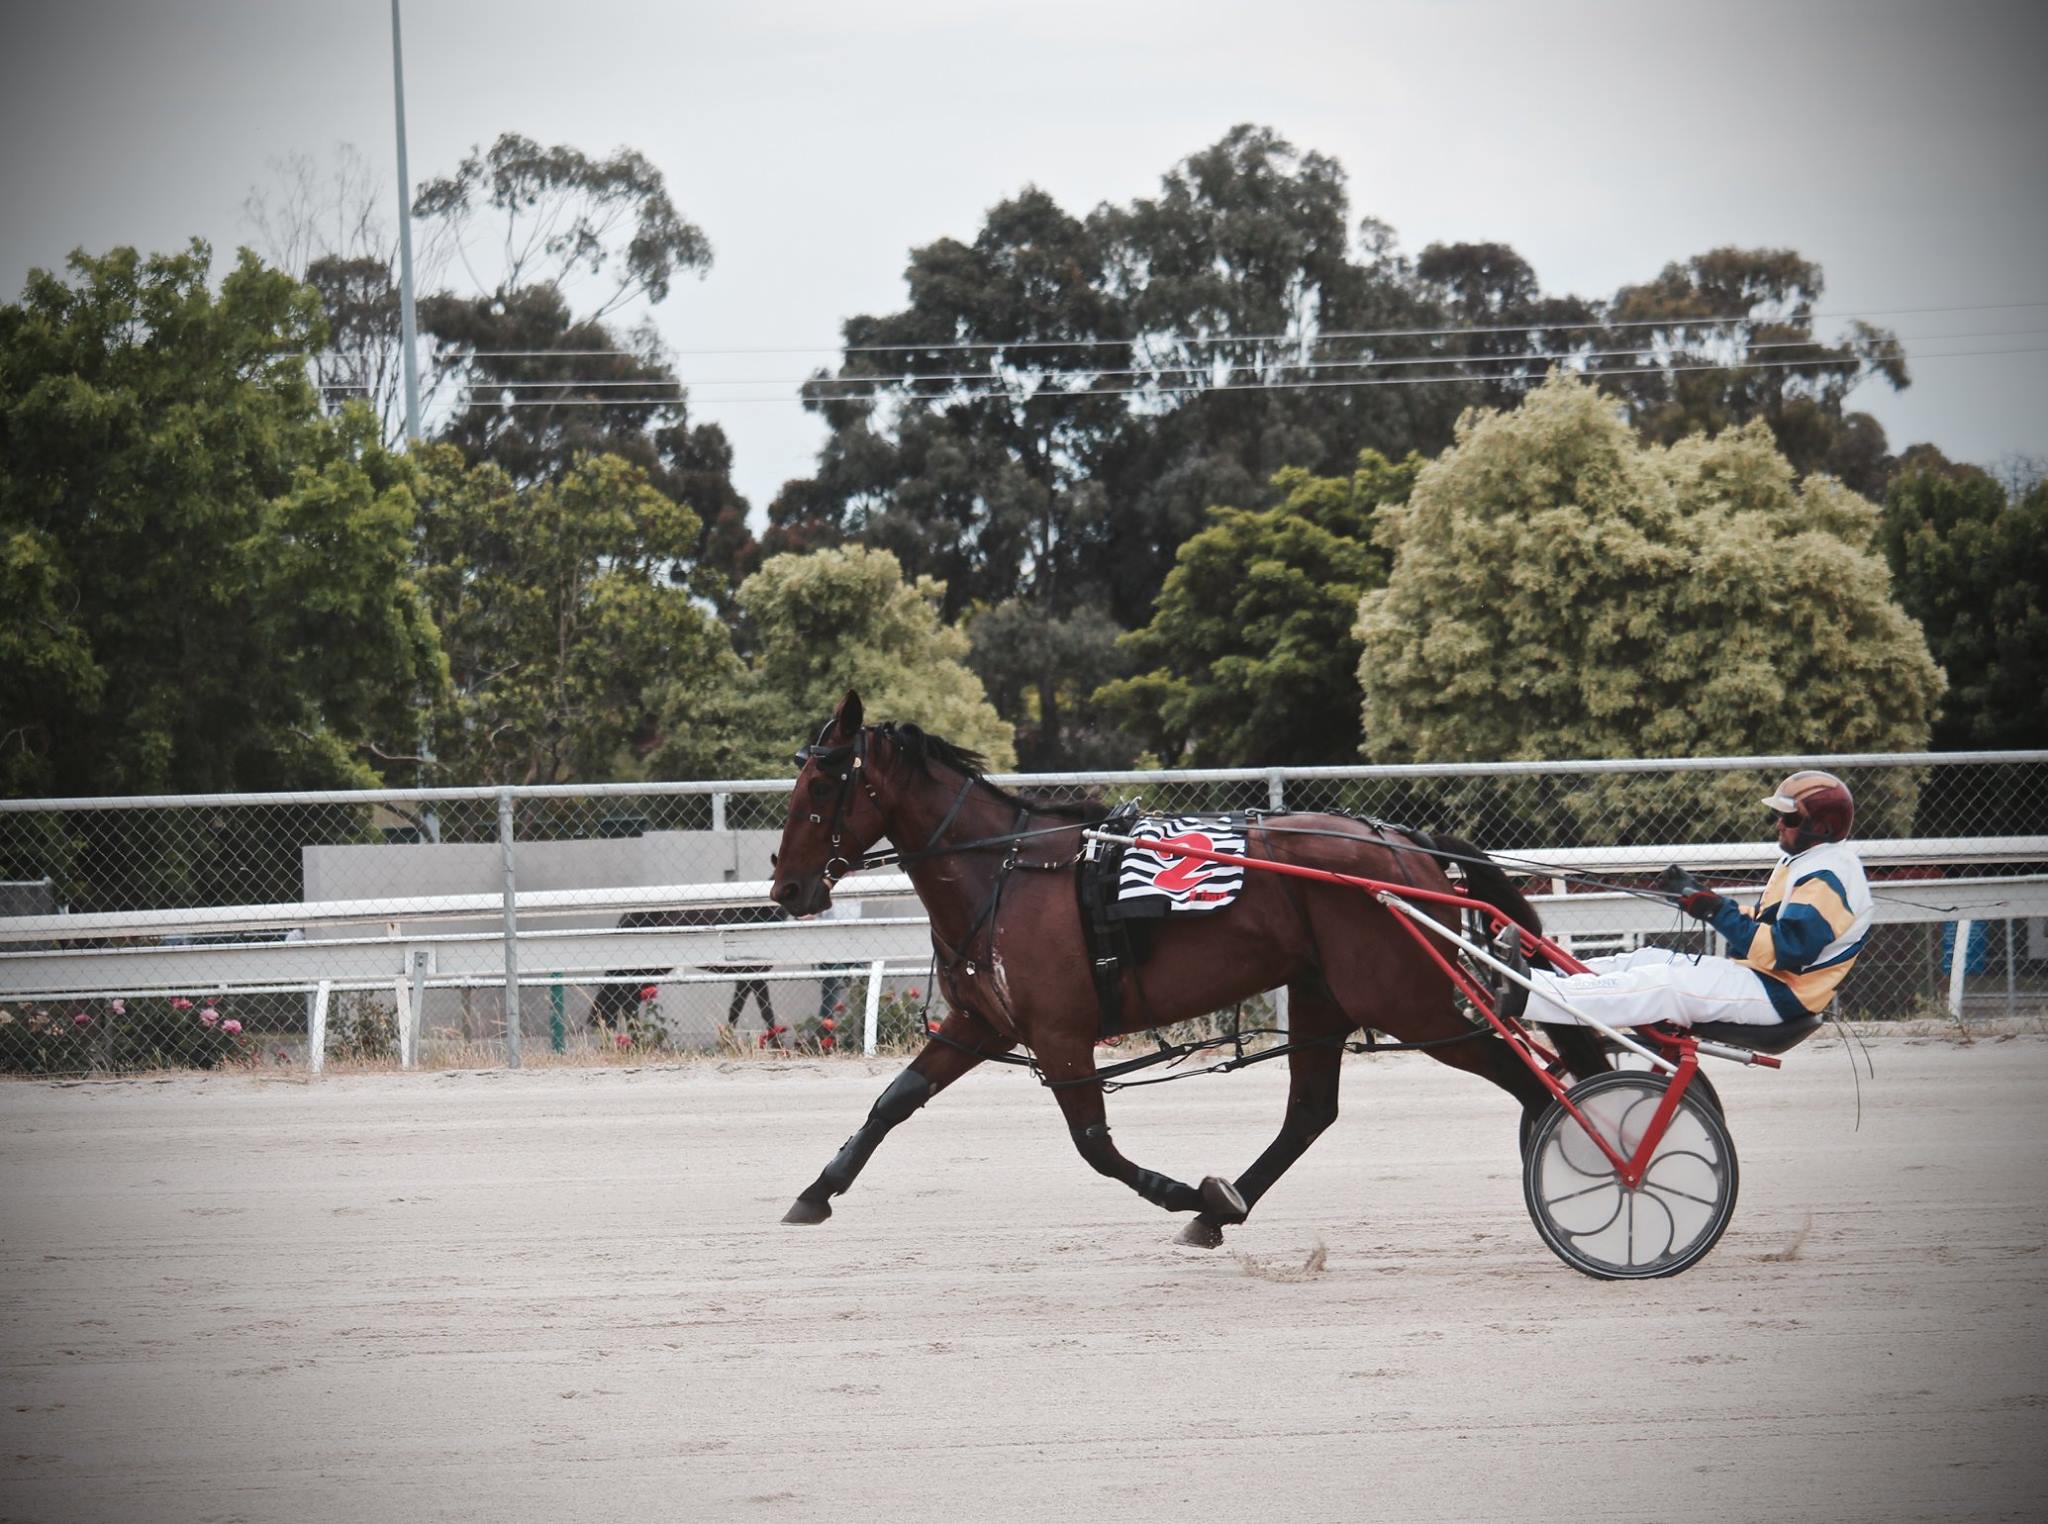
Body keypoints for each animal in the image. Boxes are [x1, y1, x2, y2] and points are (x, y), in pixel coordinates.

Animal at [770, 696, 1597, 1245]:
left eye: (821, 785)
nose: (786, 887)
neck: (1008, 872)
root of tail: (1405, 844)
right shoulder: (981, 1021)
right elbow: (894, 1101)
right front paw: (815, 1192)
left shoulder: (1060, 1034)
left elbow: (1095, 1146)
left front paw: (1183, 1192)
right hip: (1324, 992)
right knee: (1310, 1113)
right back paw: (1222, 1210)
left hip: (1409, 1000)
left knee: (1530, 1083)